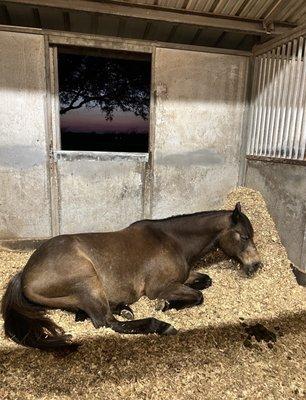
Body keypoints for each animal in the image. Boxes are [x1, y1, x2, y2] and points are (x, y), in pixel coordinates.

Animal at [1, 203, 262, 350]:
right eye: (244, 236)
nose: (256, 265)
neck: (173, 241)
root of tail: (25, 273)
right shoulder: (160, 287)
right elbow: (198, 295)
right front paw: (165, 306)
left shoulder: (183, 277)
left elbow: (205, 281)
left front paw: (168, 305)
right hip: (88, 280)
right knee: (106, 321)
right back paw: (160, 325)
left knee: (91, 313)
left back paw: (124, 307)